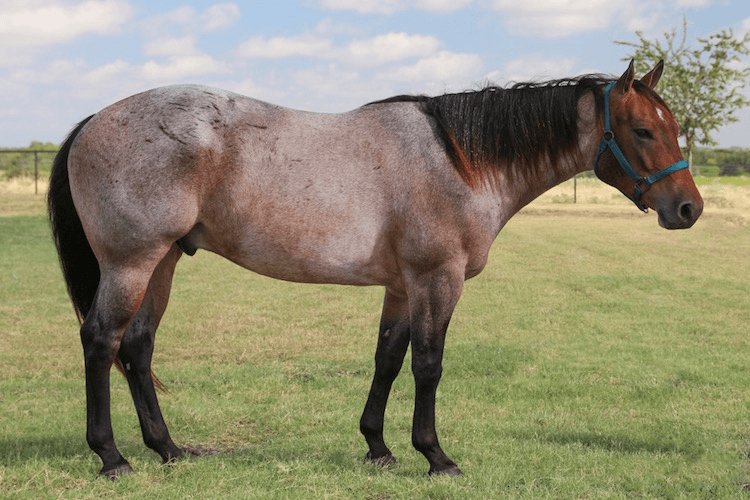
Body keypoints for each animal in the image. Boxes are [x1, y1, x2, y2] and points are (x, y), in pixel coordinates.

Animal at [48, 60, 702, 479]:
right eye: (643, 130)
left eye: (674, 128)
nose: (688, 209)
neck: (458, 161)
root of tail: (93, 120)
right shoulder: (438, 279)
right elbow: (429, 365)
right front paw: (436, 457)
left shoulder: (401, 286)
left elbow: (388, 359)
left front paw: (378, 449)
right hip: (131, 264)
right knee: (100, 340)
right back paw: (112, 458)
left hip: (160, 263)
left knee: (137, 346)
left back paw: (168, 450)